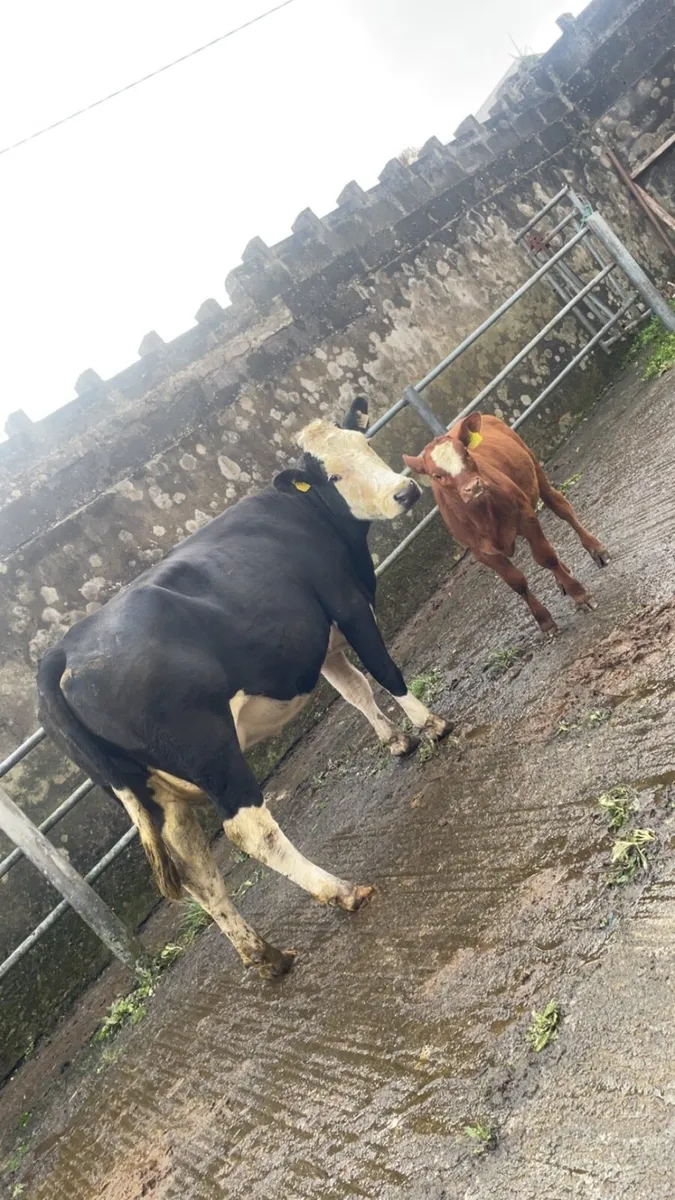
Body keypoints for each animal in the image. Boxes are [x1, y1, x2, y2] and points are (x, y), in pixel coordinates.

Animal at [37, 397, 449, 979]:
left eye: (365, 444)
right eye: (334, 474)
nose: (405, 491)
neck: (307, 516)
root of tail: (64, 650)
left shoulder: (313, 637)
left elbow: (353, 690)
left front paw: (396, 740)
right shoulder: (345, 602)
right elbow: (383, 670)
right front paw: (431, 724)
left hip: (152, 792)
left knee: (194, 866)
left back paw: (264, 953)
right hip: (212, 752)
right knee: (248, 831)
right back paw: (341, 891)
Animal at [403, 412, 609, 636]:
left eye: (466, 453)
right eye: (437, 475)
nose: (473, 486)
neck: (484, 514)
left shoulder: (526, 517)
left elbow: (546, 558)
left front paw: (581, 595)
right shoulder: (481, 551)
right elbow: (516, 582)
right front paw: (544, 620)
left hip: (535, 469)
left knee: (561, 507)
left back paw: (596, 550)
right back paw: (562, 578)